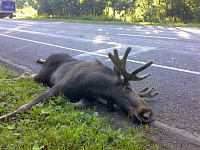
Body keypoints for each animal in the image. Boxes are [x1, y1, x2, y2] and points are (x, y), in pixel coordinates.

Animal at [0, 47, 159, 123]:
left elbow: (84, 103)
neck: (93, 86)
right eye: (127, 88)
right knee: (25, 76)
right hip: (42, 76)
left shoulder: (89, 96)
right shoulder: (57, 87)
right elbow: (26, 106)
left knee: (26, 75)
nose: (148, 113)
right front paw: (4, 117)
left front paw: (68, 104)